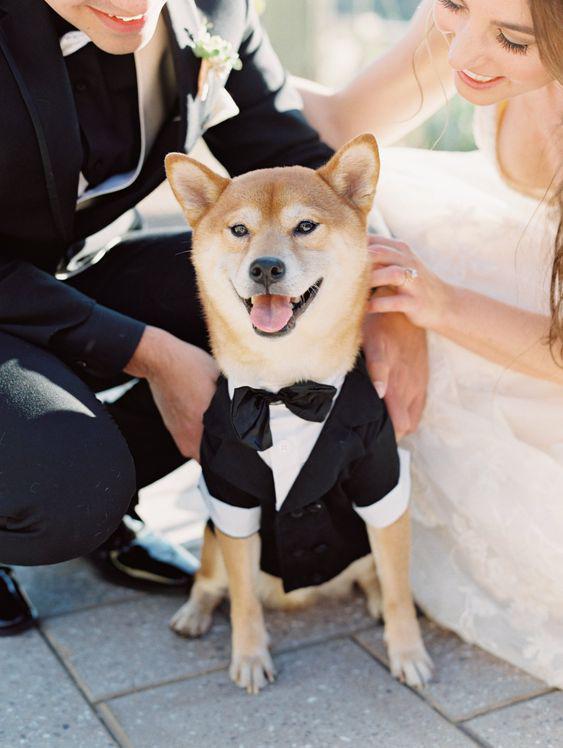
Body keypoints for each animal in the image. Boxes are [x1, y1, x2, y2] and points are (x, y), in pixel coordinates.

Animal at [165, 136, 434, 696]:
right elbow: (244, 601)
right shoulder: (231, 495)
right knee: (212, 579)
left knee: (374, 574)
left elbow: (400, 588)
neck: (284, 390)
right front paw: (249, 655)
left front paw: (408, 652)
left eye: (305, 226)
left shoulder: (381, 480)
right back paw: (194, 612)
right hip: (212, 530)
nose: (265, 267)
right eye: (239, 230)